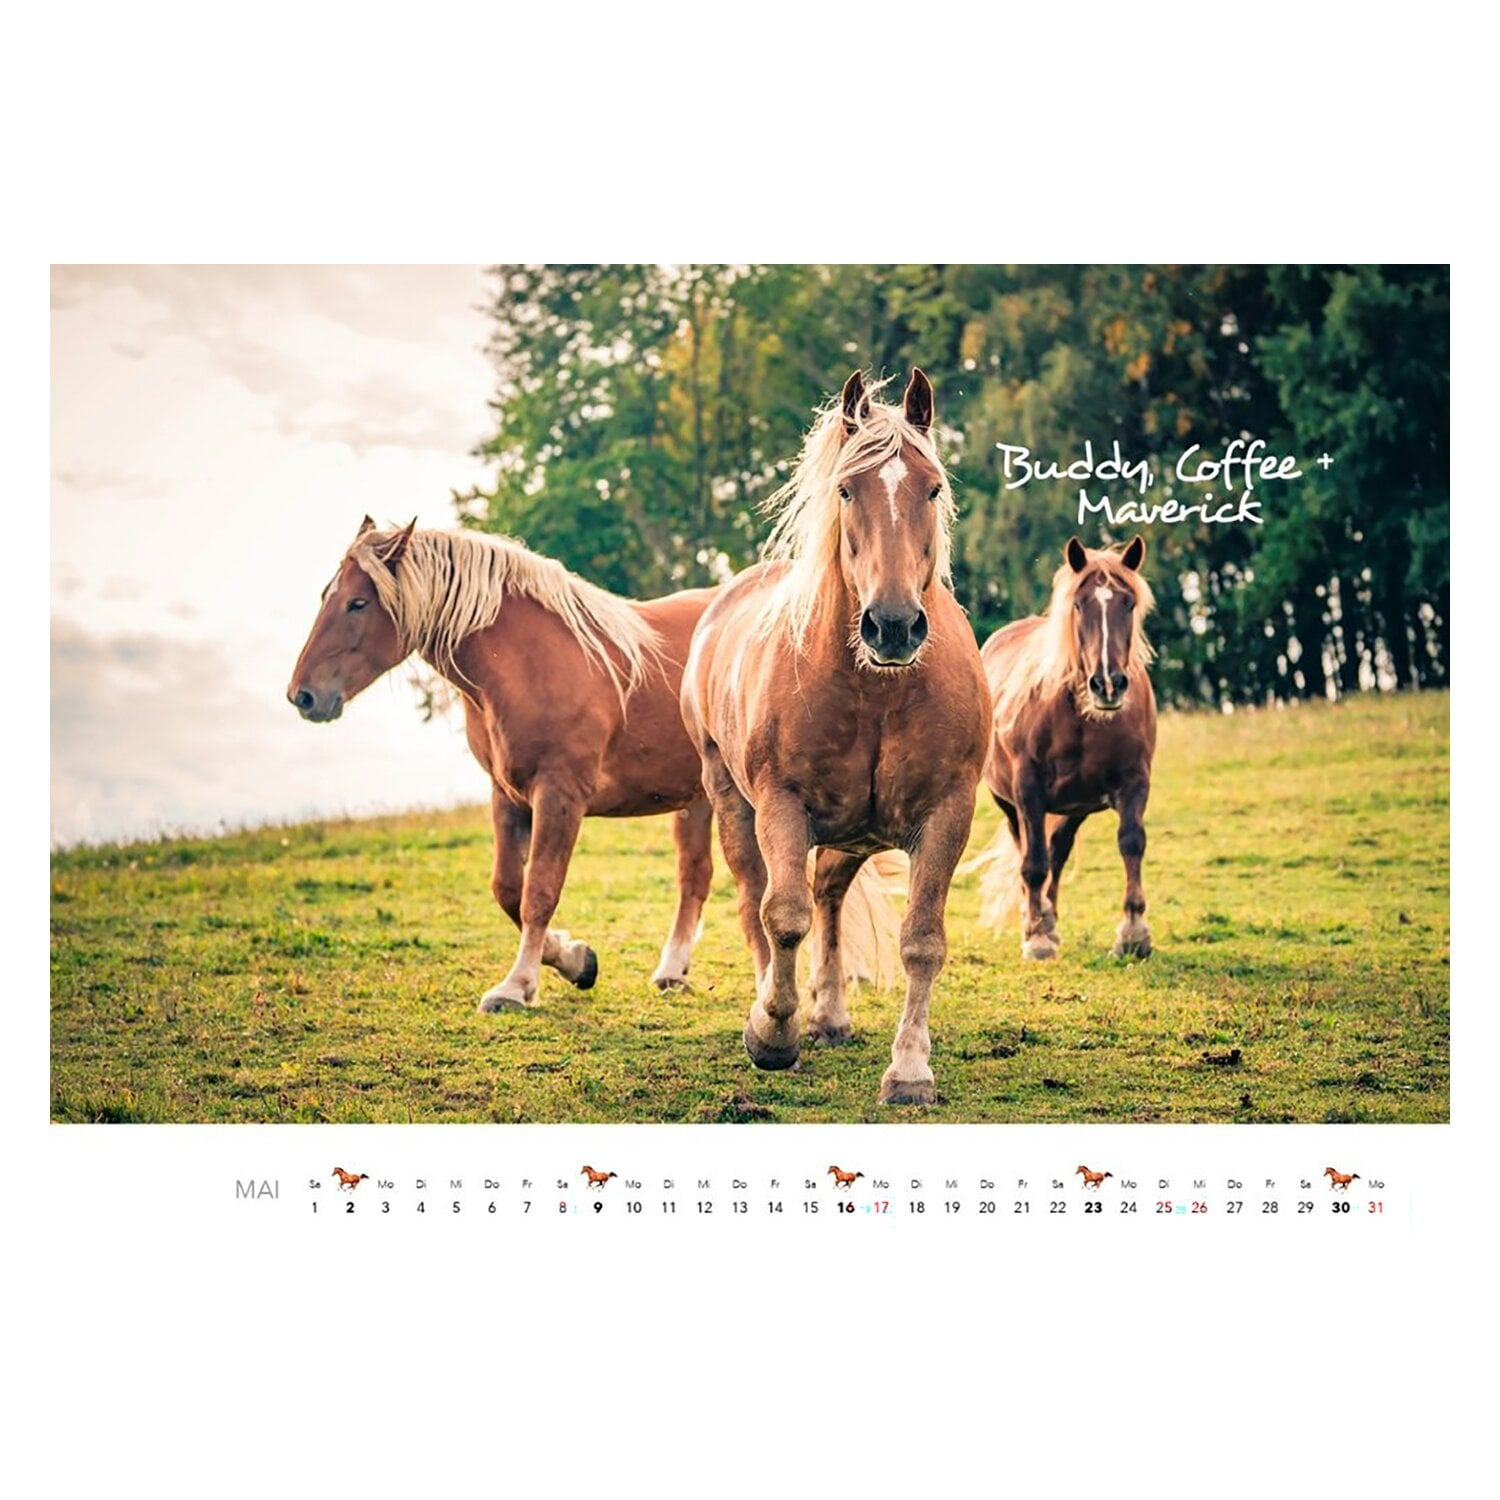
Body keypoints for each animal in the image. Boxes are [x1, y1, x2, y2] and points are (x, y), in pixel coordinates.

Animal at [288, 520, 719, 1008]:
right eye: (327, 595)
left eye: (358, 603)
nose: (303, 695)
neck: (528, 662)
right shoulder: (508, 795)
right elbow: (508, 889)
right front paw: (574, 958)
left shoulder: (559, 795)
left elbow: (540, 892)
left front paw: (517, 985)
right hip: (696, 800)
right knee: (694, 876)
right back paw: (672, 971)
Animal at [682, 369, 991, 1106]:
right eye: (848, 490)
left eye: (932, 487)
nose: (894, 624)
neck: (877, 692)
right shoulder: (782, 806)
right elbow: (783, 915)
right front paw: (772, 1033)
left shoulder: (948, 813)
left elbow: (922, 940)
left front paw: (909, 1069)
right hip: (734, 803)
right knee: (758, 901)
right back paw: (782, 1011)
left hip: (855, 833)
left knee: (828, 895)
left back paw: (828, 1015)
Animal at [966, 536, 1157, 961]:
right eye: (1079, 604)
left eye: (1129, 603)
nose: (1108, 684)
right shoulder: (1028, 791)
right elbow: (1033, 863)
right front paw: (1037, 936)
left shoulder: (1134, 782)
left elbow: (1131, 842)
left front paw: (1133, 933)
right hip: (1010, 804)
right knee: (1030, 852)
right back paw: (1036, 921)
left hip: (1074, 809)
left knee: (1058, 851)